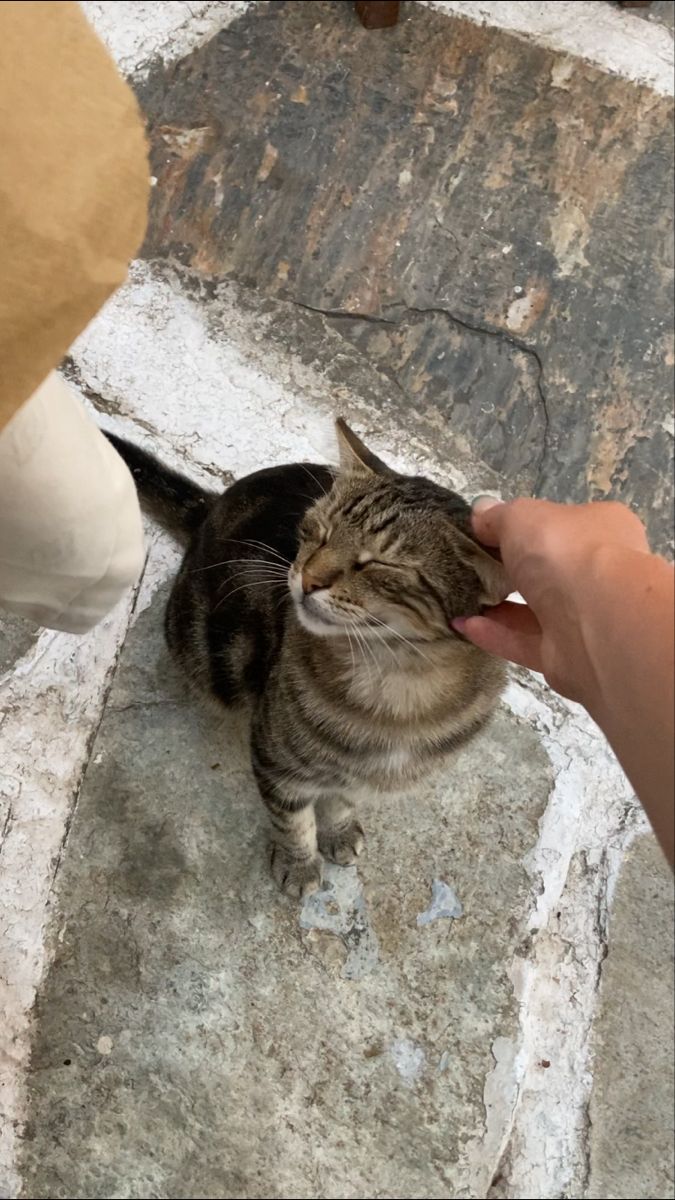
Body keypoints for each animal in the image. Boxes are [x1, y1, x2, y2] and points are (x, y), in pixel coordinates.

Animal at [106, 417, 504, 897]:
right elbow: (291, 817)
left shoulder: (353, 777)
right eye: (317, 531)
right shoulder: (277, 756)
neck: (397, 688)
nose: (307, 579)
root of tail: (213, 504)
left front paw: (338, 831)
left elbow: (340, 802)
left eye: (378, 565)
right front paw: (298, 863)